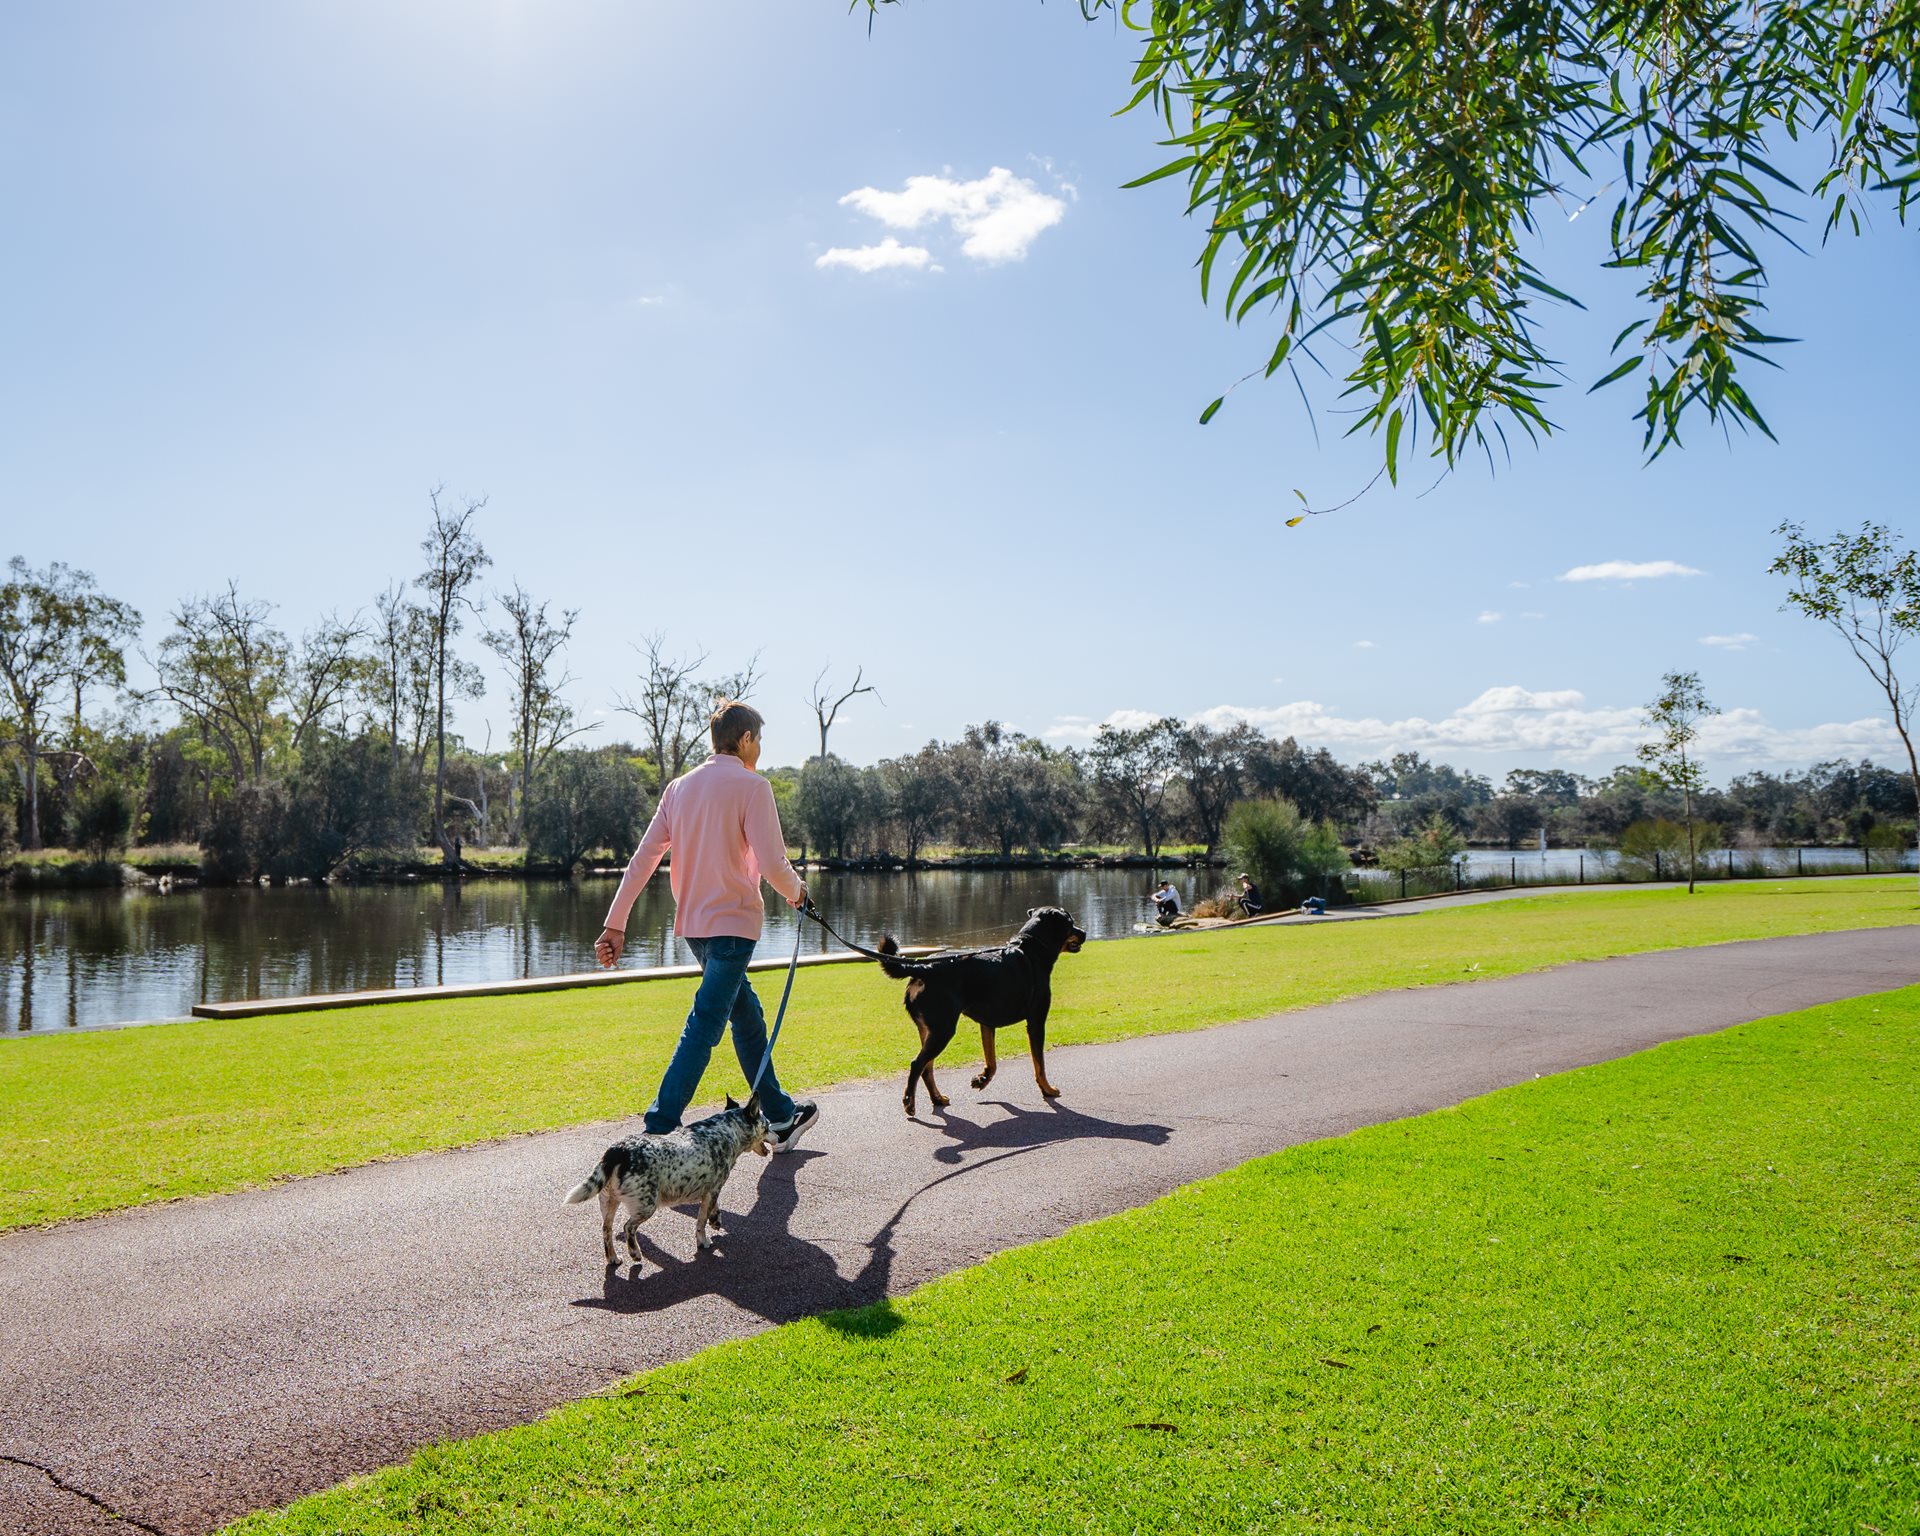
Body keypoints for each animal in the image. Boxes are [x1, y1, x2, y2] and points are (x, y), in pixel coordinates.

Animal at [560, 1098, 768, 1267]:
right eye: (767, 1125)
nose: (775, 1130)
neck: (727, 1129)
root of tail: (619, 1150)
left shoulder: (710, 1189)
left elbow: (713, 1208)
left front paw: (716, 1220)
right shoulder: (713, 1189)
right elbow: (700, 1222)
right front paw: (703, 1240)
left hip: (608, 1201)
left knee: (606, 1229)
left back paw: (613, 1258)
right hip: (646, 1205)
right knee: (628, 1227)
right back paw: (634, 1252)